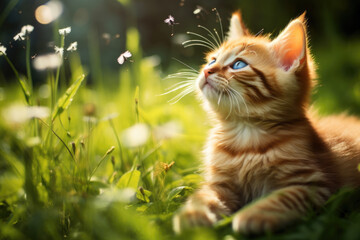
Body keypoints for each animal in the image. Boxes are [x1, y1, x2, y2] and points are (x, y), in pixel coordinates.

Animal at [172, 11, 360, 234]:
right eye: (212, 61)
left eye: (238, 64)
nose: (207, 71)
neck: (245, 134)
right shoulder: (220, 184)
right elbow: (202, 195)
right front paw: (193, 213)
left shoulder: (314, 185)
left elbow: (284, 197)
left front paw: (255, 214)